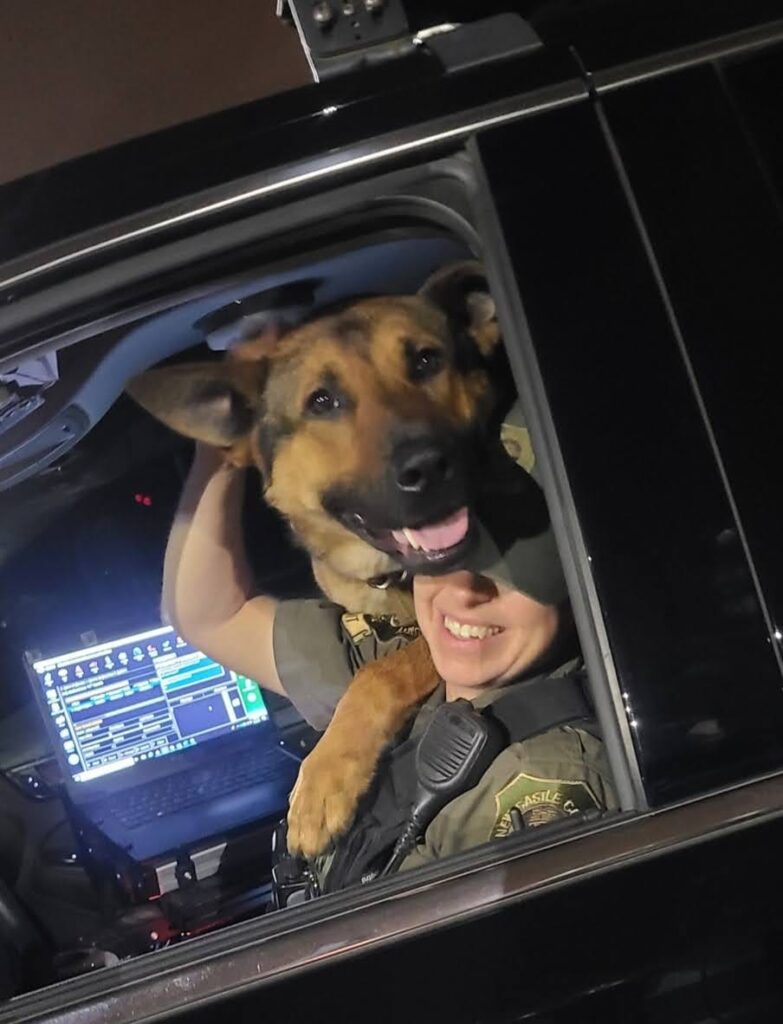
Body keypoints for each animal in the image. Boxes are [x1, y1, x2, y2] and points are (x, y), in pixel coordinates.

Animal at [128, 261, 504, 857]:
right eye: (322, 402)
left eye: (427, 361)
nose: (428, 467)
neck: (390, 576)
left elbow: (378, 673)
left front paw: (324, 778)